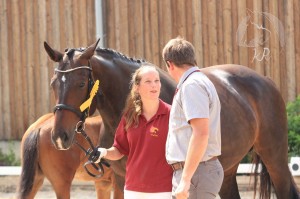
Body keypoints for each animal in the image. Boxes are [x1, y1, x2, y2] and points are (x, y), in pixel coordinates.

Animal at [43, 39, 298, 199]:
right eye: (53, 84)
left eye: (81, 84)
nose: (59, 137)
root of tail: (265, 81)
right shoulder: (121, 179)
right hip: (227, 170)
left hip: (275, 159)